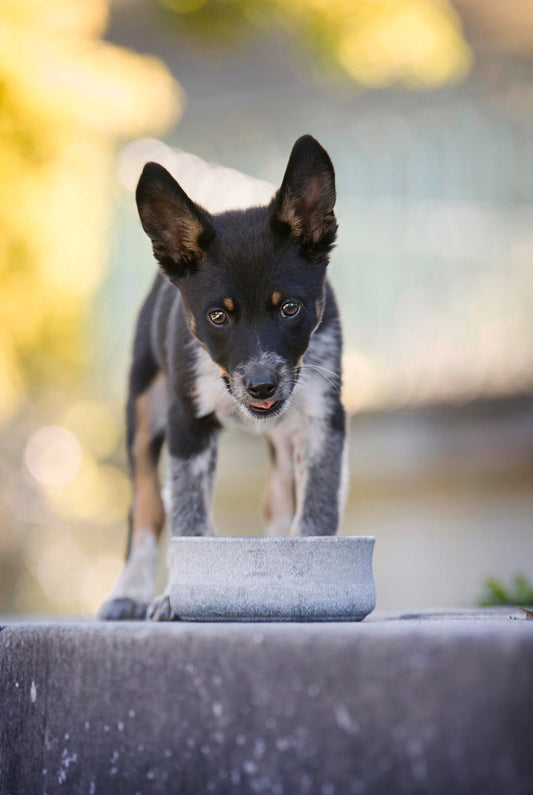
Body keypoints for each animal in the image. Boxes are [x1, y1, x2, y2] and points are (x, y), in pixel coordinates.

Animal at [98, 135, 350, 620]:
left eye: (290, 308)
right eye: (218, 316)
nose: (261, 386)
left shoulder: (323, 416)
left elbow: (316, 509)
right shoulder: (187, 423)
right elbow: (188, 520)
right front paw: (174, 599)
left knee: (278, 497)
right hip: (143, 403)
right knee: (146, 505)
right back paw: (129, 592)